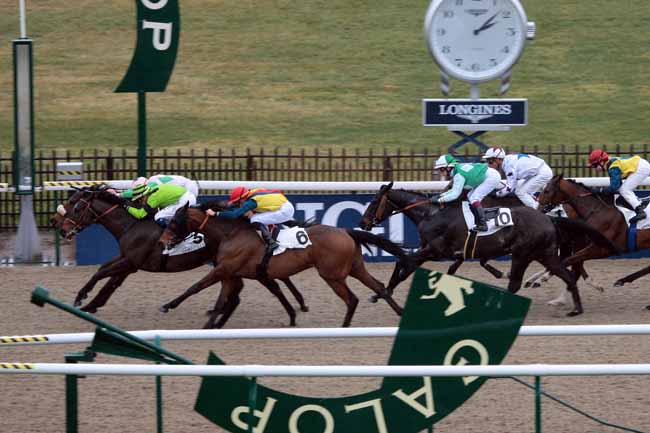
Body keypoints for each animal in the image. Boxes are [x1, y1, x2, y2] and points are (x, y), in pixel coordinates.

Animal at [50, 187, 310, 324]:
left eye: (75, 206)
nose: (57, 224)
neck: (131, 225)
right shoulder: (127, 260)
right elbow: (107, 279)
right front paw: (91, 304)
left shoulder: (132, 261)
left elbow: (102, 274)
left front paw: (82, 299)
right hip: (227, 264)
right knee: (246, 287)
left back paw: (299, 303)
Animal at [157, 204, 406, 328]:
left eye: (174, 221)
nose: (162, 240)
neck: (231, 233)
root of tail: (345, 231)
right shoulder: (233, 273)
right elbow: (221, 301)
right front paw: (210, 325)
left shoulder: (224, 270)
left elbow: (196, 287)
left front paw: (168, 305)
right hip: (355, 268)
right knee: (379, 286)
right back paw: (400, 313)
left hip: (332, 275)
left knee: (352, 299)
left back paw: (344, 327)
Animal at [359, 184, 620, 316]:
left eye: (374, 202)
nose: (363, 222)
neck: (431, 214)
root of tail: (549, 218)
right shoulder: (430, 250)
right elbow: (405, 266)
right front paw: (381, 293)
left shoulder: (435, 250)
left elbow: (404, 263)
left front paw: (384, 292)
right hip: (541, 254)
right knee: (565, 274)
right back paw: (576, 308)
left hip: (524, 253)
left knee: (518, 283)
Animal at [538, 174, 650, 309]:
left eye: (547, 190)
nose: (538, 208)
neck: (598, 211)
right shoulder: (586, 245)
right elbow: (575, 263)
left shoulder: (602, 249)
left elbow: (569, 260)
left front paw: (543, 278)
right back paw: (624, 282)